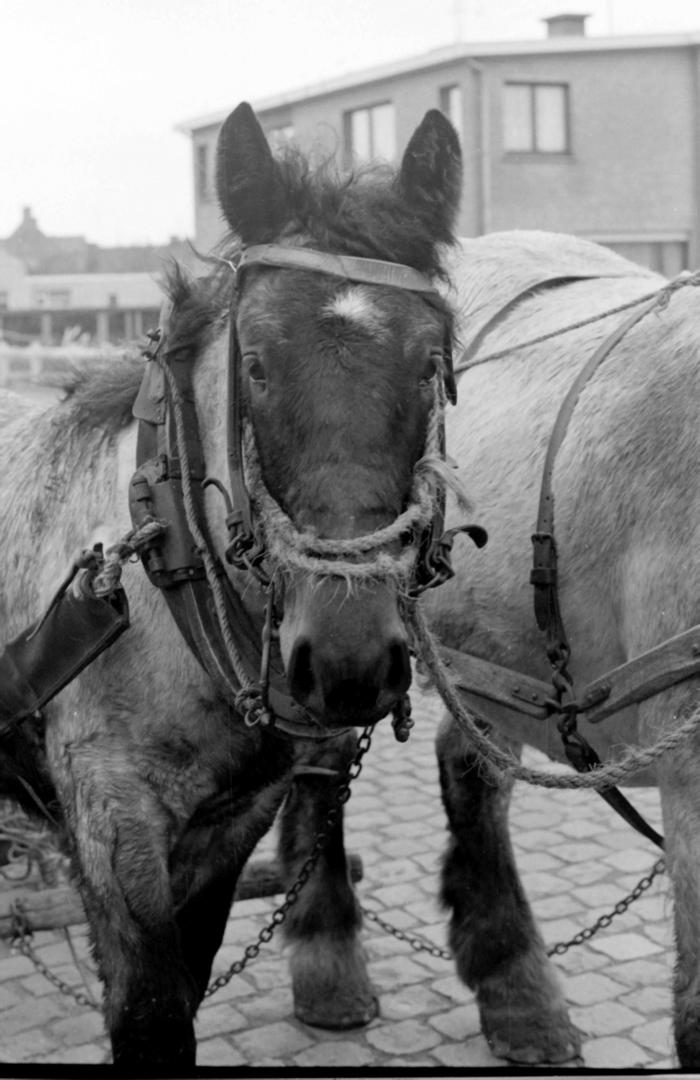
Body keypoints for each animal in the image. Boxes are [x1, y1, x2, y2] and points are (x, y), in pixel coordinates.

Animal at [0, 102, 464, 1071]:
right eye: (254, 363)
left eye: (429, 362)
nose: (348, 660)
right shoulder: (112, 822)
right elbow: (150, 1013)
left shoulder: (231, 824)